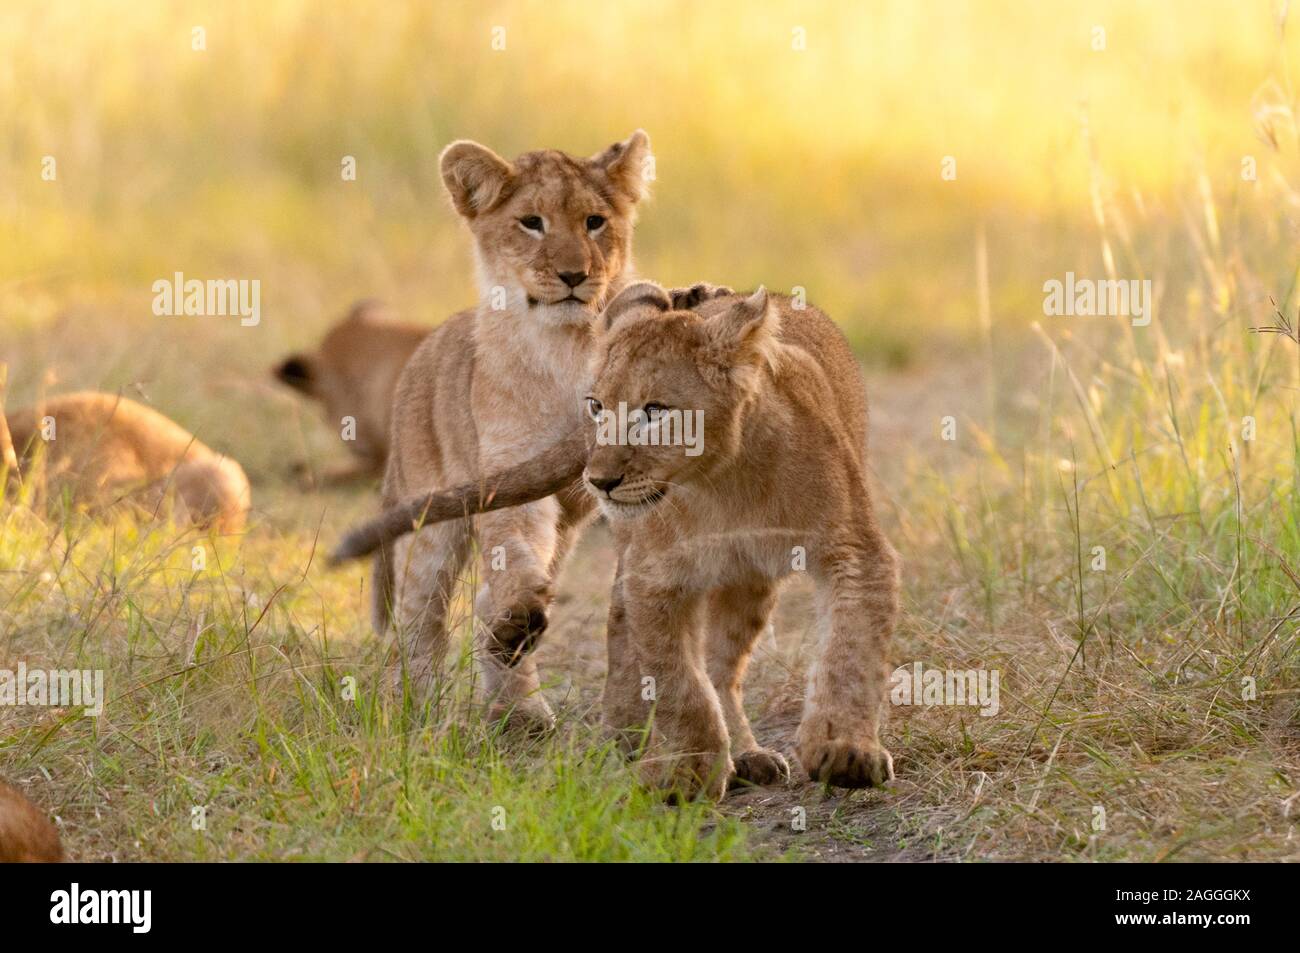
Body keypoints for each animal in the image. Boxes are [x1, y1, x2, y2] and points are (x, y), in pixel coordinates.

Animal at [335, 282, 900, 799]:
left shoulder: (855, 551)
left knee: (722, 664)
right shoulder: (656, 575)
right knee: (441, 617)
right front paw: (687, 772)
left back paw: (742, 755)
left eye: (655, 412)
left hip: (749, 580)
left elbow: (848, 652)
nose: (599, 479)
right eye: (595, 407)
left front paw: (844, 752)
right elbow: (677, 680)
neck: (723, 481)